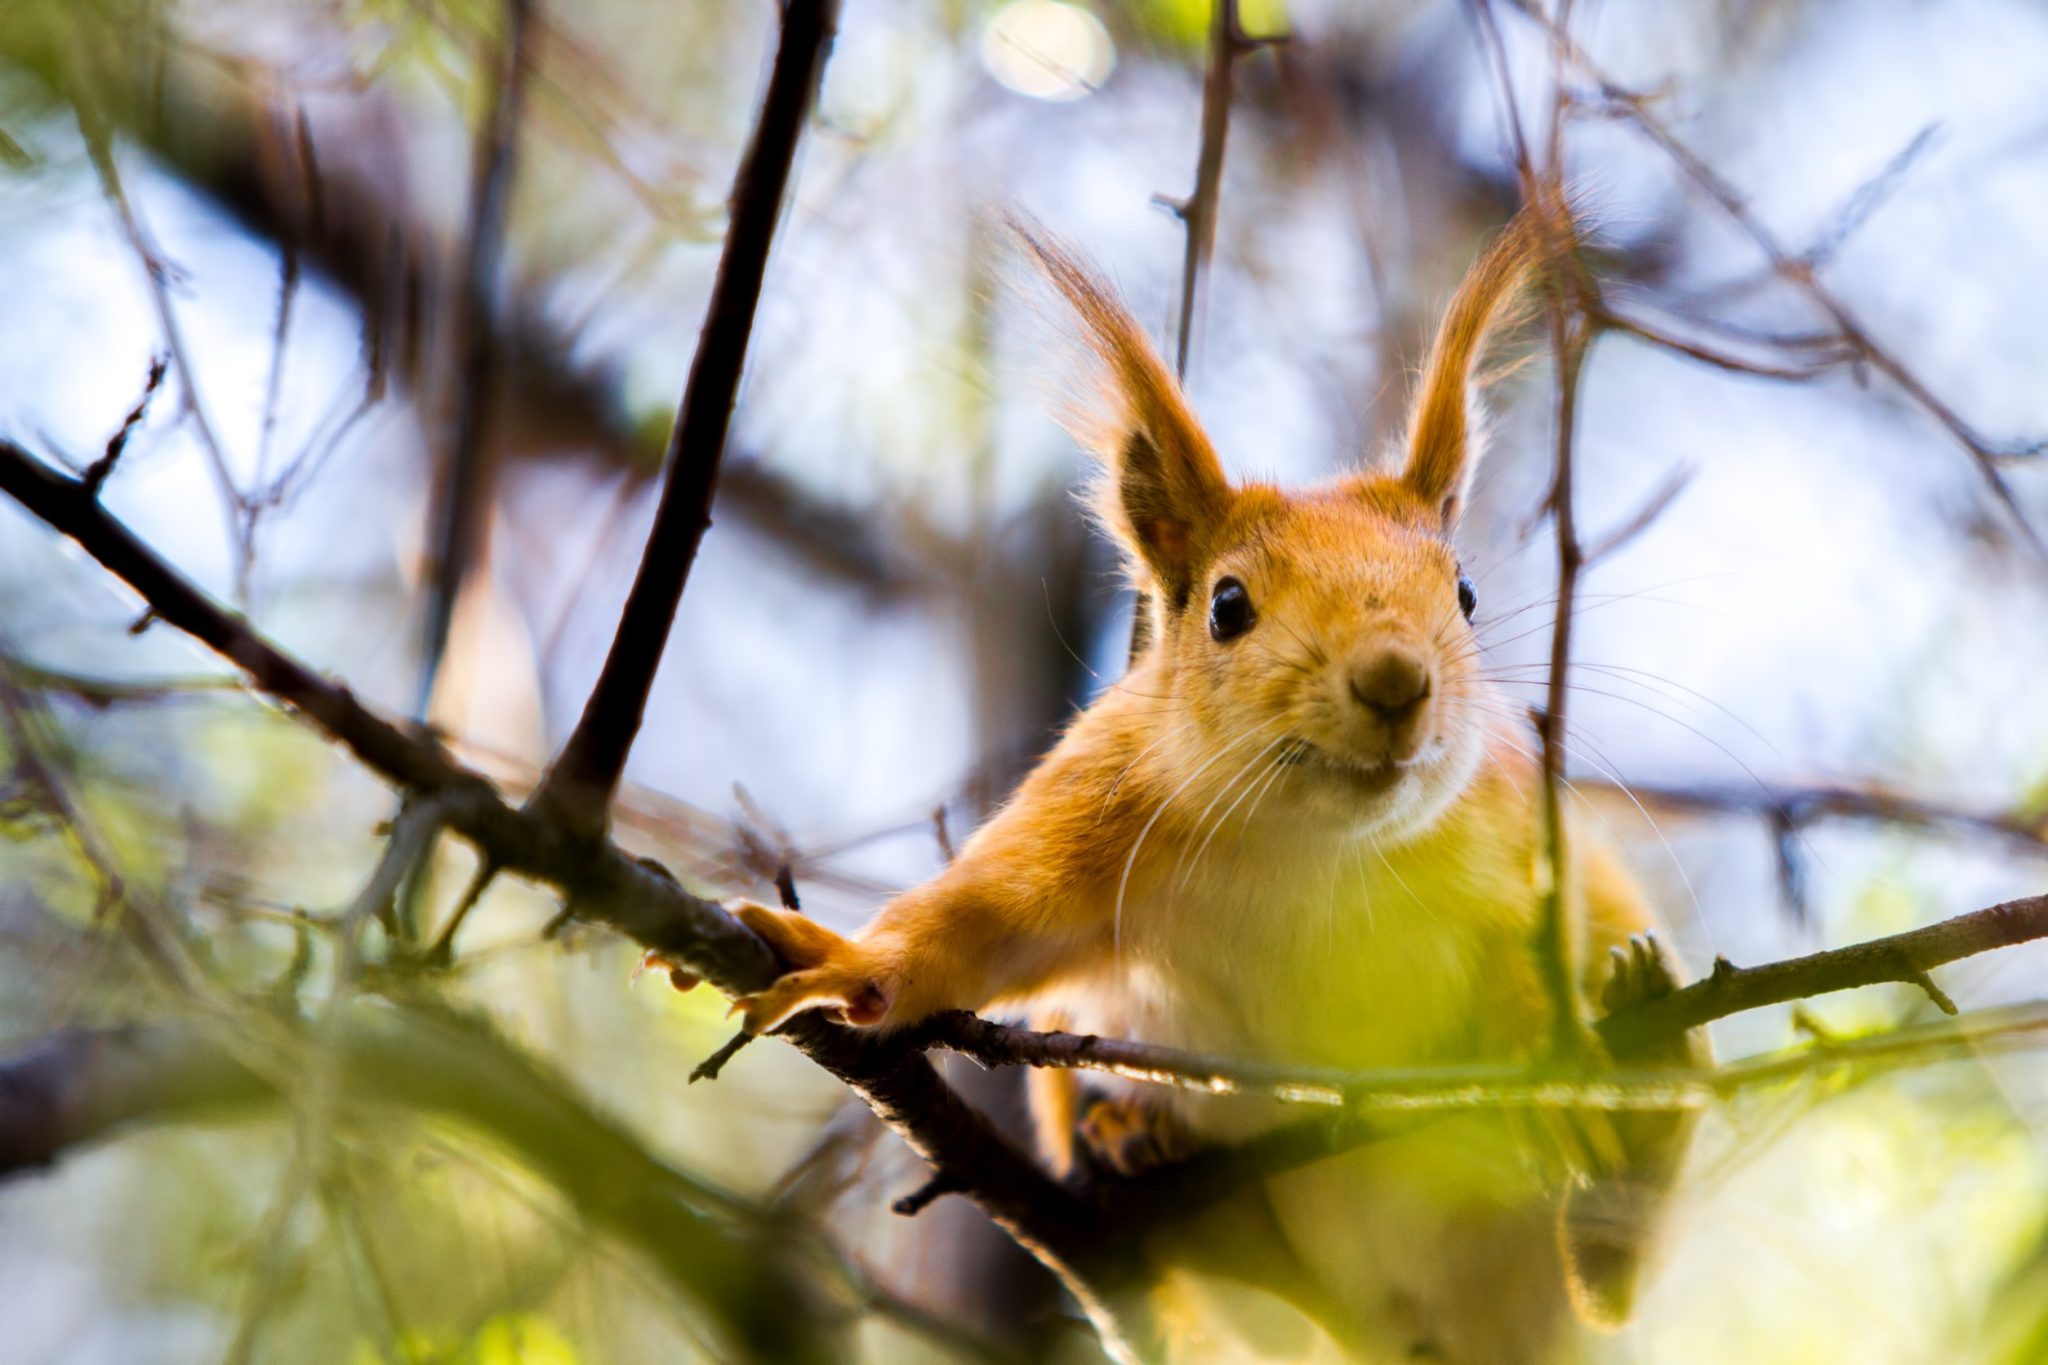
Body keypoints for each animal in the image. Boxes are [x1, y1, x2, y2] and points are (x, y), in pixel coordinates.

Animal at [696, 205, 1703, 1365]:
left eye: (1464, 592)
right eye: (1227, 606)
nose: (1396, 679)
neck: (1308, 850)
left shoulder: (1509, 848)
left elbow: (1529, 951)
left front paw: (1543, 1055)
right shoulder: (1091, 822)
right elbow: (973, 928)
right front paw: (841, 961)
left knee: (1609, 1282)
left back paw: (1644, 1102)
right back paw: (1138, 1146)